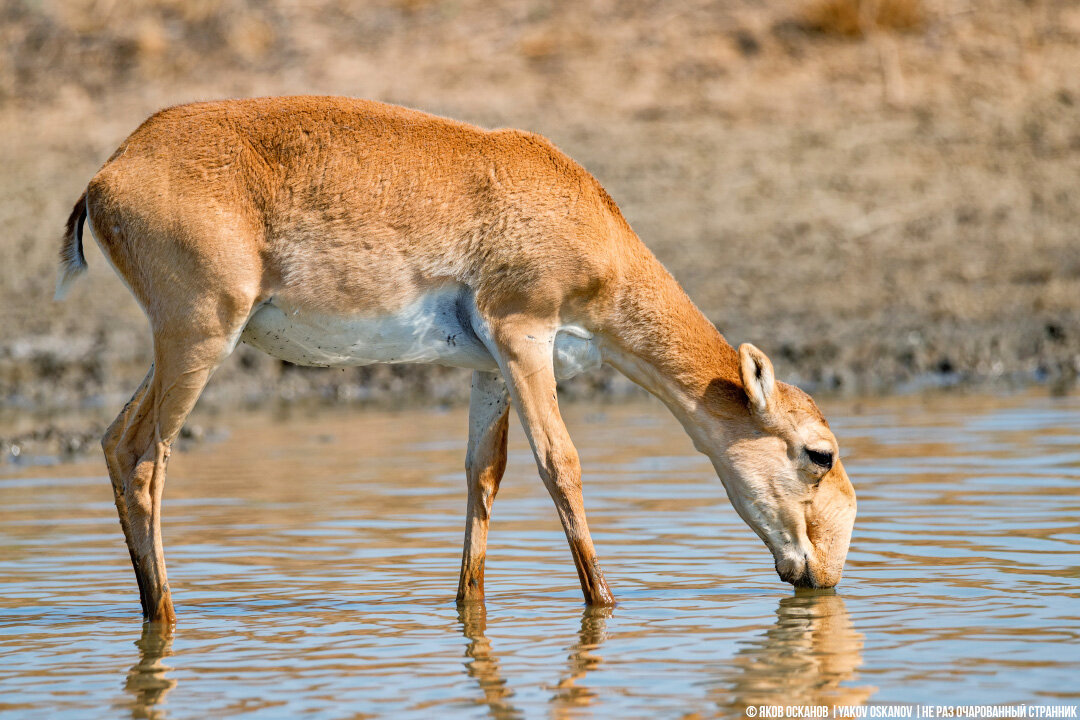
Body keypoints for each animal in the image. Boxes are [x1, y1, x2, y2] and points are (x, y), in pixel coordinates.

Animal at [56, 97, 851, 626]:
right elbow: (560, 464)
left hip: (180, 347)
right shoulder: (524, 336)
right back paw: (166, 615)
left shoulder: (488, 370)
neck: (584, 217)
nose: (827, 572)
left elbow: (483, 476)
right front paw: (605, 603)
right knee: (147, 457)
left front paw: (469, 604)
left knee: (114, 442)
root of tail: (111, 171)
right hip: (199, 341)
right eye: (819, 452)